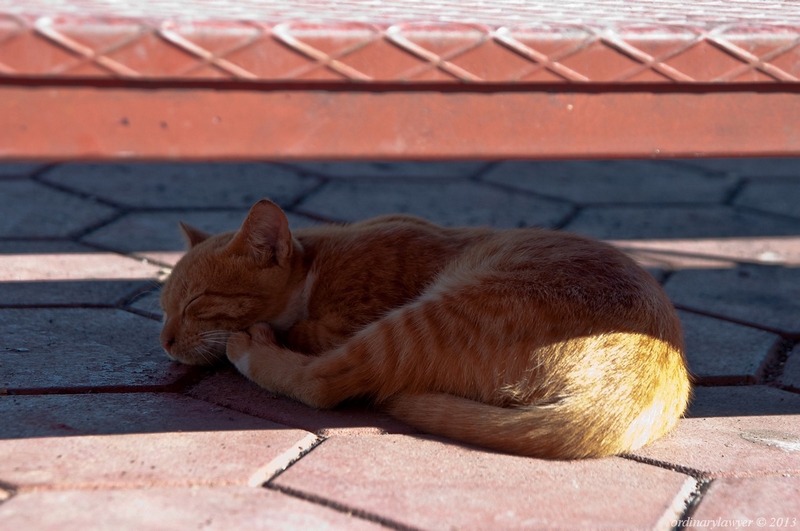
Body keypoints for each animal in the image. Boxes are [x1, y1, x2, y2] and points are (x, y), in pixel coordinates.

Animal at [159, 197, 692, 460]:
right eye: (164, 307)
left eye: (197, 302)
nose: (164, 341)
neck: (319, 262)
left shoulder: (346, 320)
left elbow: (306, 339)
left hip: (423, 320)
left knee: (322, 383)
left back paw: (254, 349)